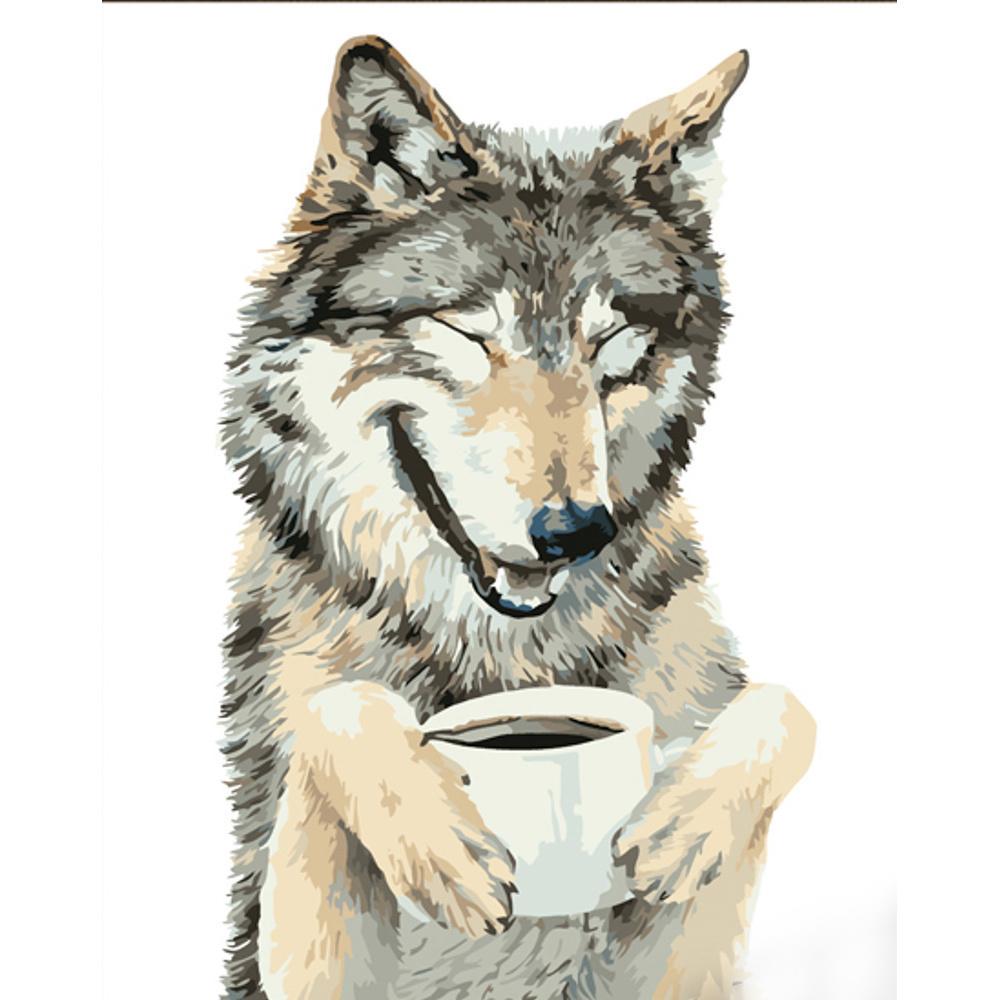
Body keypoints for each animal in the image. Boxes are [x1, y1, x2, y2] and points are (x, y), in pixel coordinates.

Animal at [220, 36, 815, 1000]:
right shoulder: (279, 935)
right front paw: (439, 841)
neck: (503, 661)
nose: (575, 532)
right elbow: (339, 708)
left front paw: (686, 819)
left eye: (612, 346)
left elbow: (783, 703)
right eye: (469, 334)